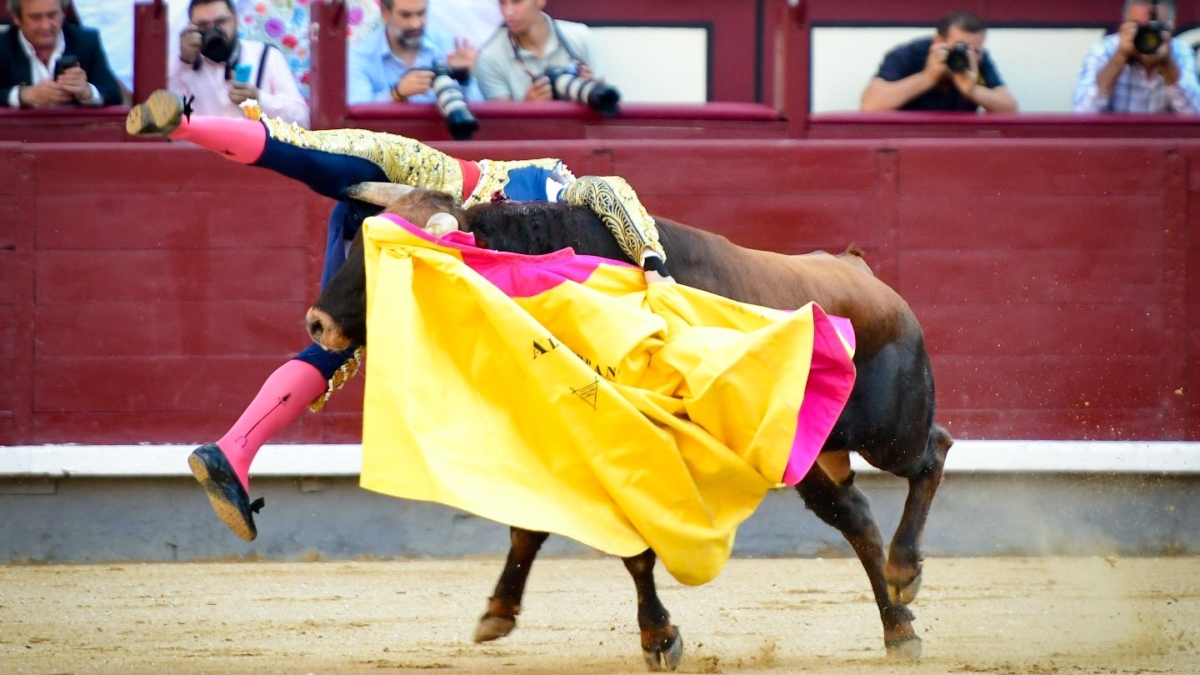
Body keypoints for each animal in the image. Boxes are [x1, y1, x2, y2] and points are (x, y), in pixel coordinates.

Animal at [304, 184, 950, 667]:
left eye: (386, 261)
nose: (316, 323)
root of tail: (860, 272)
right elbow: (528, 531)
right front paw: (497, 614)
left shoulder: (637, 449)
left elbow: (635, 549)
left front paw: (659, 638)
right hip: (816, 454)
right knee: (857, 515)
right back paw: (899, 625)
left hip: (889, 432)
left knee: (931, 454)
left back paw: (905, 575)